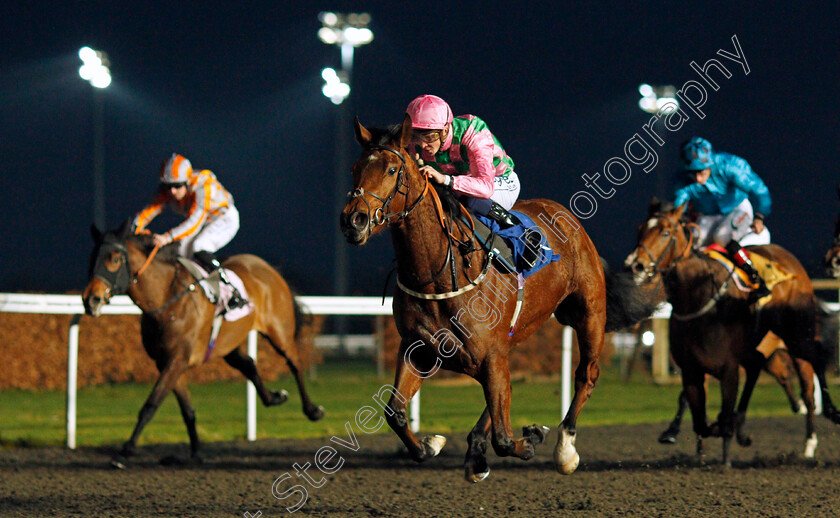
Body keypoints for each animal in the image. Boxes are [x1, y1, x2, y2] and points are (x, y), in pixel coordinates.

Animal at [82, 221, 324, 466]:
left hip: (279, 332)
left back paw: (313, 410)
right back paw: (275, 397)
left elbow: (150, 405)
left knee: (294, 363)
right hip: (227, 343)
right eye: (91, 257)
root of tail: (268, 268)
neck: (165, 298)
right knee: (249, 364)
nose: (90, 300)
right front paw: (196, 452)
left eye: (114, 258)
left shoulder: (176, 360)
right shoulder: (167, 363)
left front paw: (125, 451)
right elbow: (187, 411)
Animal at [338, 115, 652, 484]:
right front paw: (432, 444)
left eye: (390, 169)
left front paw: (531, 440)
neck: (437, 273)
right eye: (355, 168)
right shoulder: (419, 349)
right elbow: (396, 414)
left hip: (589, 313)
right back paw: (476, 451)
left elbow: (503, 438)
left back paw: (564, 449)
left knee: (586, 375)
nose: (353, 220)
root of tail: (566, 216)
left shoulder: (490, 353)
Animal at [624, 203, 832, 468]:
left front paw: (724, 456)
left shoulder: (728, 368)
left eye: (665, 232)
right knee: (764, 374)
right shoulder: (692, 369)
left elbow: (720, 411)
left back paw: (809, 443)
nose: (634, 265)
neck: (698, 296)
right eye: (640, 229)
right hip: (762, 349)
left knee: (808, 387)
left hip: (798, 340)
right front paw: (691, 439)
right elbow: (699, 418)